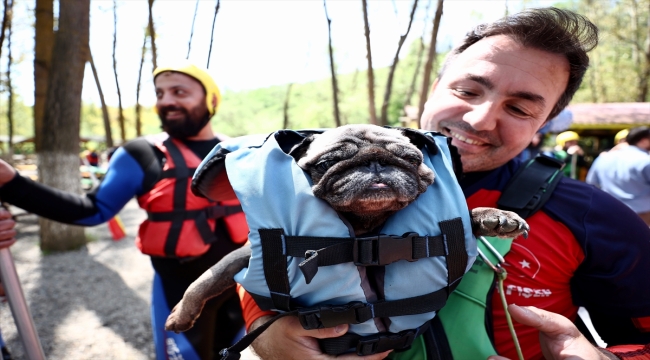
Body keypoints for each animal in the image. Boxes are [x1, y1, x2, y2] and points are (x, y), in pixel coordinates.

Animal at [163, 125, 528, 334]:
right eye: (326, 163)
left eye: (412, 158)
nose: (375, 161)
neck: (363, 228)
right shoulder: (240, 257)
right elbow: (208, 278)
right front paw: (182, 314)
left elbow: (470, 215)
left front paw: (495, 216)